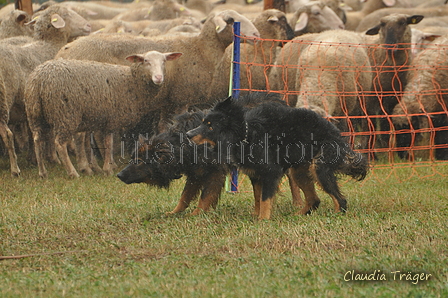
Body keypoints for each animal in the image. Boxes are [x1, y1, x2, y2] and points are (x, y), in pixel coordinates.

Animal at [24, 50, 181, 178]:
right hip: (66, 115)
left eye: (164, 61)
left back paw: (42, 172)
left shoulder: (97, 119)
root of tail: (39, 80)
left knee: (37, 140)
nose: (159, 78)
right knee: (59, 144)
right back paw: (72, 173)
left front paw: (97, 167)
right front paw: (108, 168)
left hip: (35, 114)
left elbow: (93, 143)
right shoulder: (111, 118)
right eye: (146, 61)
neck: (130, 81)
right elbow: (108, 143)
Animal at [186, 95, 372, 219]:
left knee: (341, 201)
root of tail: (337, 134)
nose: (188, 135)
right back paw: (298, 215)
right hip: (299, 171)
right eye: (203, 122)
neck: (246, 135)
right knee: (314, 200)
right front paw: (257, 217)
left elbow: (265, 199)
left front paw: (263, 220)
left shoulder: (270, 172)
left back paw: (334, 215)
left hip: (318, 167)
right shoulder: (256, 175)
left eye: (210, 126)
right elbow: (258, 198)